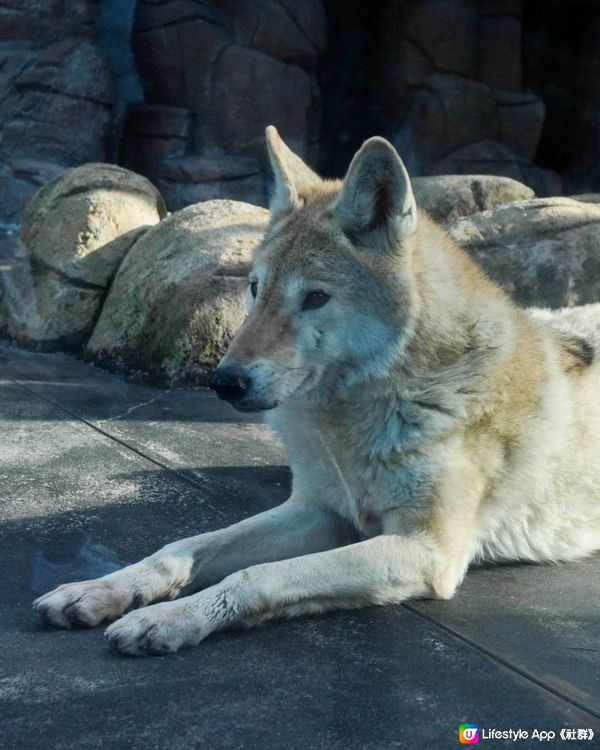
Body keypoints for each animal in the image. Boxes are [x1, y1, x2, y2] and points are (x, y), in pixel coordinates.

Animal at [34, 126, 600, 656]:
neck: (351, 422)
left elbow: (255, 576)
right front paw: (101, 591)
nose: (224, 381)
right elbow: (181, 546)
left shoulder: (426, 549)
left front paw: (170, 619)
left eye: (314, 298)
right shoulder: (318, 512)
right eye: (255, 288)